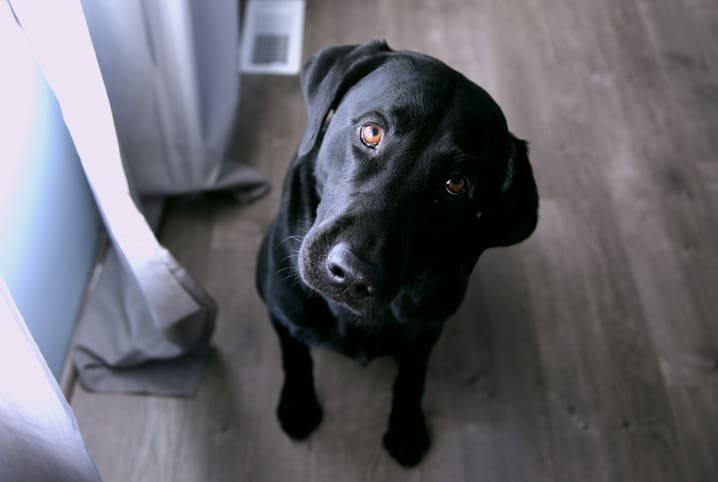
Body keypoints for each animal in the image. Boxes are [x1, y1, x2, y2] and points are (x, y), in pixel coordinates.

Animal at [256, 41, 536, 466]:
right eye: (372, 132)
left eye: (456, 184)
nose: (352, 274)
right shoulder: (279, 305)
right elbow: (295, 352)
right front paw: (299, 405)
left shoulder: (428, 329)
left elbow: (411, 376)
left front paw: (406, 428)